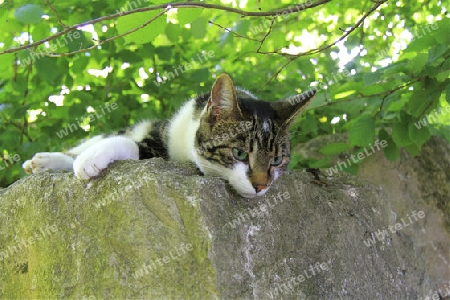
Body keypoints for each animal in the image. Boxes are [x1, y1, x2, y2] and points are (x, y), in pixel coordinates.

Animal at [22, 74, 316, 198]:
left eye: (276, 161)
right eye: (240, 153)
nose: (262, 186)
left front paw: (89, 159)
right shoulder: (161, 131)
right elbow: (124, 138)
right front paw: (84, 158)